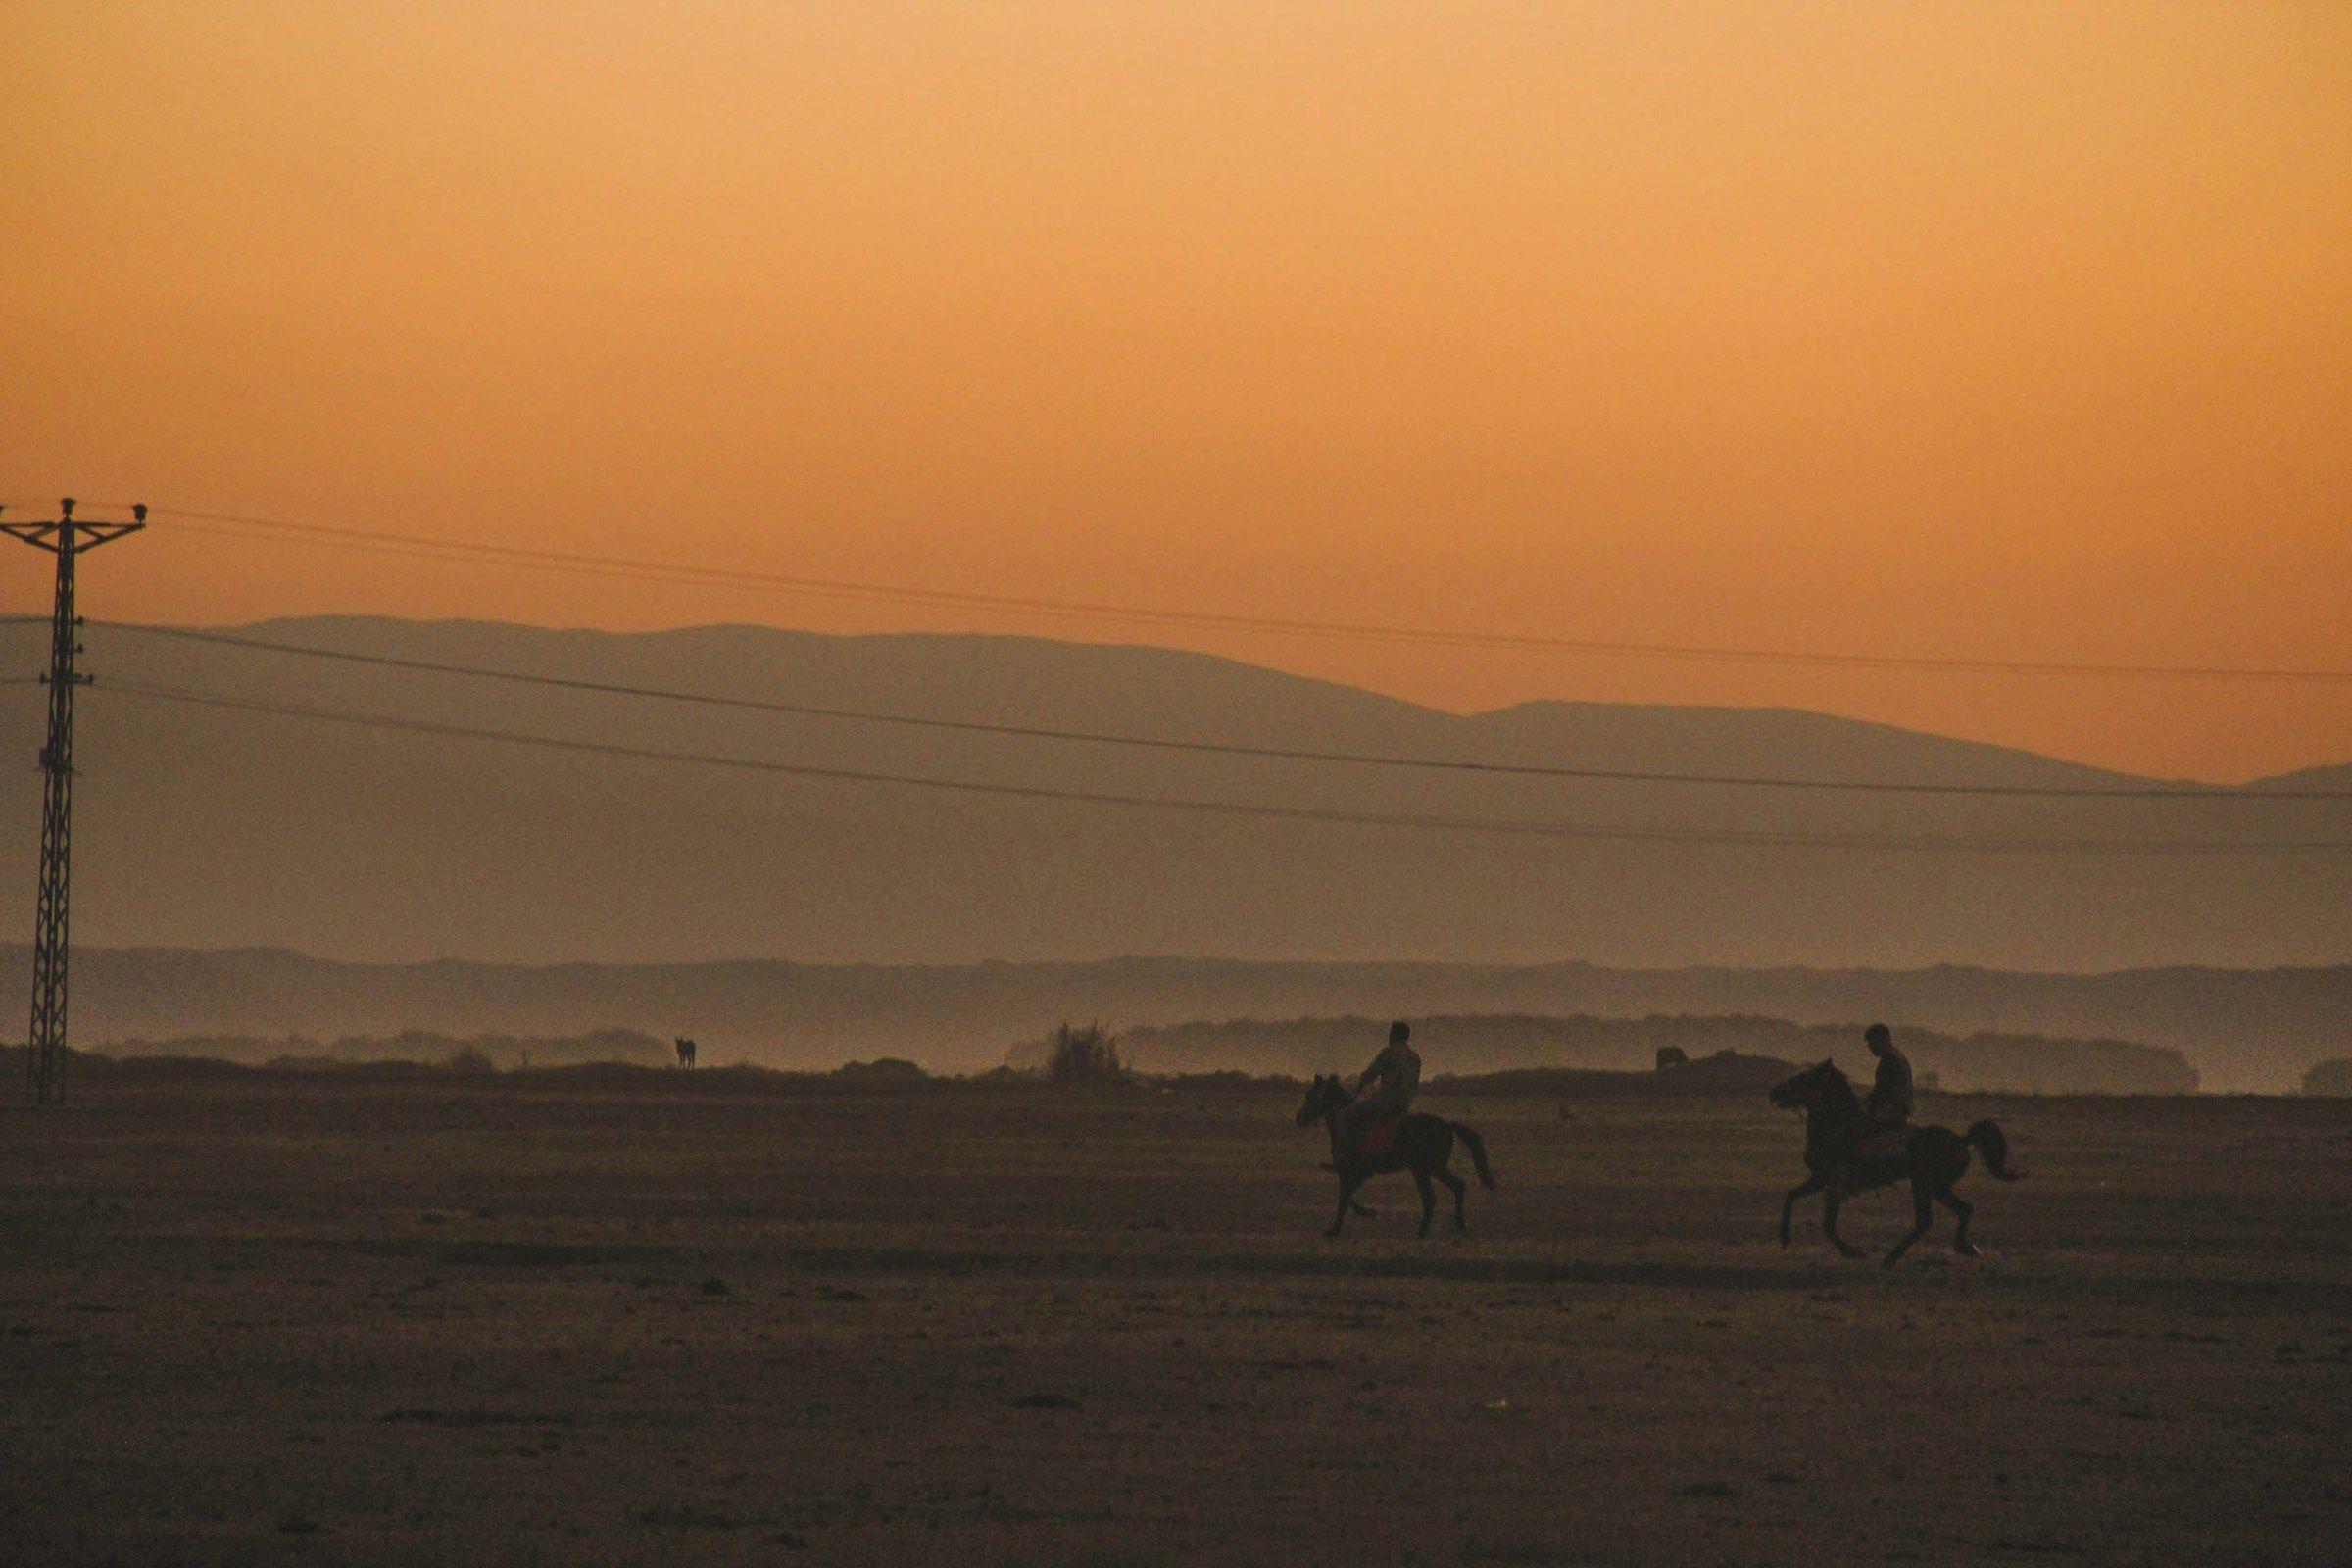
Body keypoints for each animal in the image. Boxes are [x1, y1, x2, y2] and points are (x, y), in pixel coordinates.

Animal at [1298, 1081, 1495, 1241]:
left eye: (1311, 1096)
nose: (1299, 1118)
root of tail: (1446, 1125)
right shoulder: (1351, 1173)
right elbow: (1347, 1196)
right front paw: (1363, 1213)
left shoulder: (1356, 1172)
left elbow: (1344, 1197)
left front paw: (1336, 1229)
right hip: (1428, 1169)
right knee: (1451, 1189)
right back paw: (1455, 1226)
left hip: (1427, 1168)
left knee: (1437, 1195)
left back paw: (1424, 1231)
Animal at [1768, 1062, 2023, 1269]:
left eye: (1804, 1077)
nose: (1774, 1092)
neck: (1838, 1127)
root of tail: (1962, 1140)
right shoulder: (1820, 1180)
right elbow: (1791, 1196)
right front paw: (1784, 1238)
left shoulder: (1835, 1184)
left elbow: (1828, 1225)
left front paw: (1854, 1252)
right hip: (1935, 1188)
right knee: (1960, 1210)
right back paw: (1963, 1247)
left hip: (1926, 1186)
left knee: (1929, 1220)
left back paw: (1893, 1257)